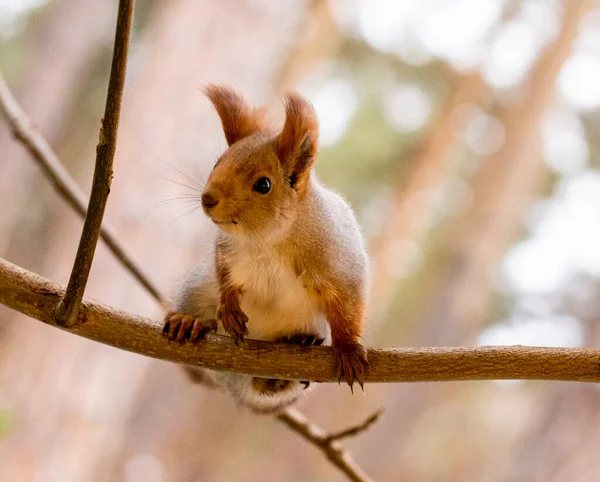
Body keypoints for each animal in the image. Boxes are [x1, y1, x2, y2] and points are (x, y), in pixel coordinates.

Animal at [164, 84, 370, 414]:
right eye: (217, 162)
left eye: (264, 185)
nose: (208, 199)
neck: (269, 240)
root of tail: (232, 382)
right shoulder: (226, 250)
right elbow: (225, 276)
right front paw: (229, 308)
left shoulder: (341, 264)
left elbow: (349, 304)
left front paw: (348, 348)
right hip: (195, 289)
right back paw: (190, 322)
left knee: (267, 386)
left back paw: (288, 360)